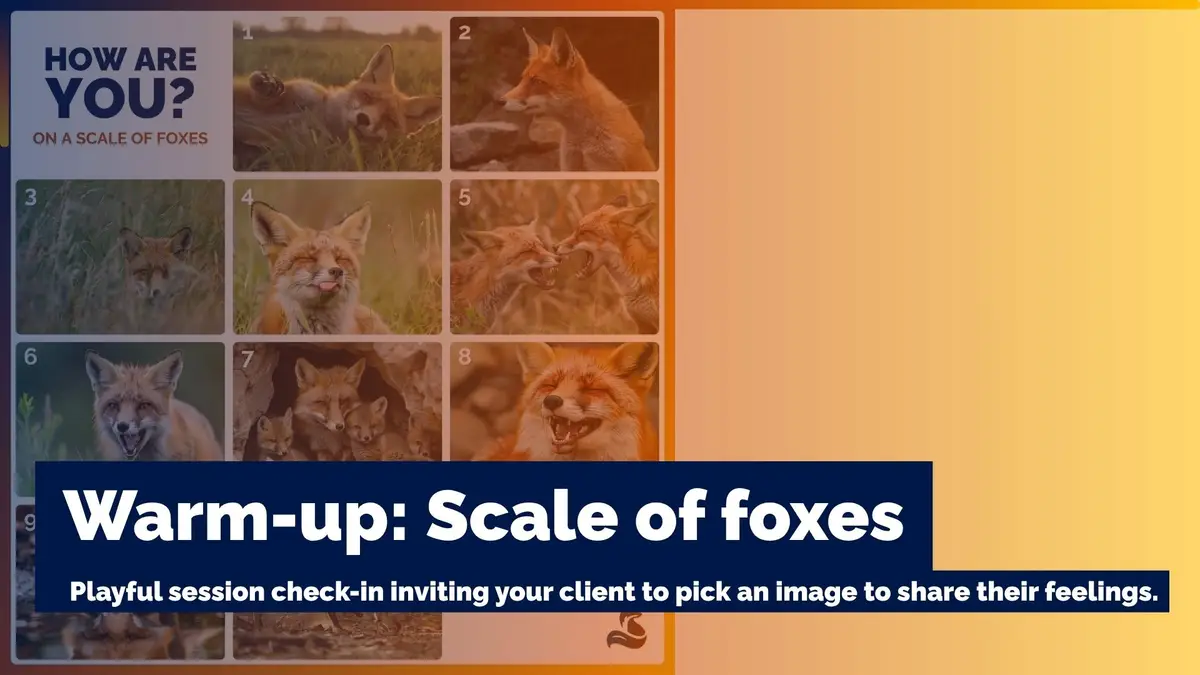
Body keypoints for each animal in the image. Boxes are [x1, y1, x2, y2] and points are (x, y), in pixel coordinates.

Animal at [233, 44, 442, 150]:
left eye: (389, 119)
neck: (321, 117)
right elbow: (260, 92)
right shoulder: (299, 92)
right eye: (367, 96)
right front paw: (265, 84)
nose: (363, 119)